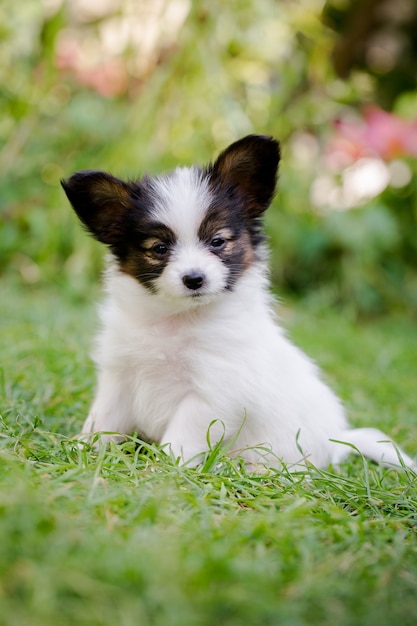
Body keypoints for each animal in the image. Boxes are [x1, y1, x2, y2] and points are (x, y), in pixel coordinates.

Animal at [61, 135, 412, 468]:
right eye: (159, 248)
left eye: (218, 241)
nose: (194, 278)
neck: (177, 319)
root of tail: (337, 442)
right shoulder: (119, 377)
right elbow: (102, 419)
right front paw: (81, 449)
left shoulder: (214, 394)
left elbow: (181, 437)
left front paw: (165, 469)